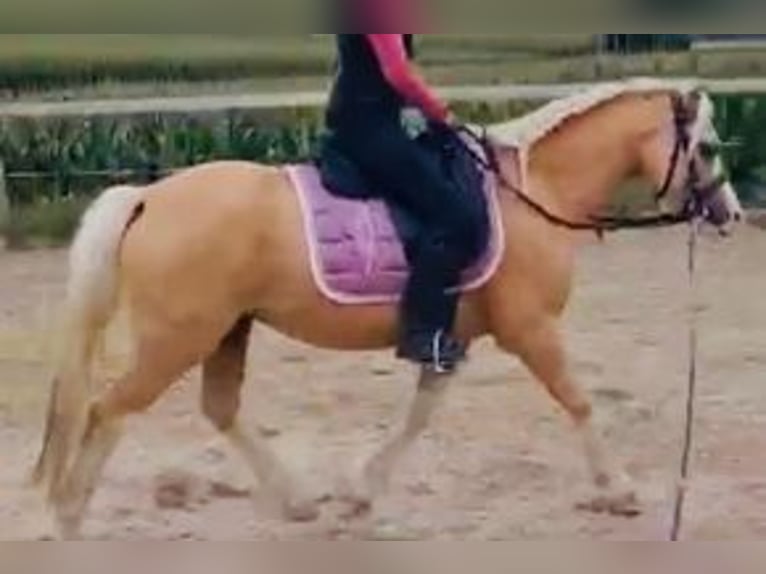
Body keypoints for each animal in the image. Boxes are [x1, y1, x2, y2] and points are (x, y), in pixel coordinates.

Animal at [31, 79, 743, 539]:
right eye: (708, 147)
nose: (731, 214)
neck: (531, 190)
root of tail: (149, 196)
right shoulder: (530, 330)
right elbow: (578, 399)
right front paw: (619, 490)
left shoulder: (451, 338)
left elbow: (419, 415)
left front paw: (360, 493)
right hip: (178, 337)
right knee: (108, 409)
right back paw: (67, 517)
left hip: (226, 329)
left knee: (218, 408)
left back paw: (299, 502)